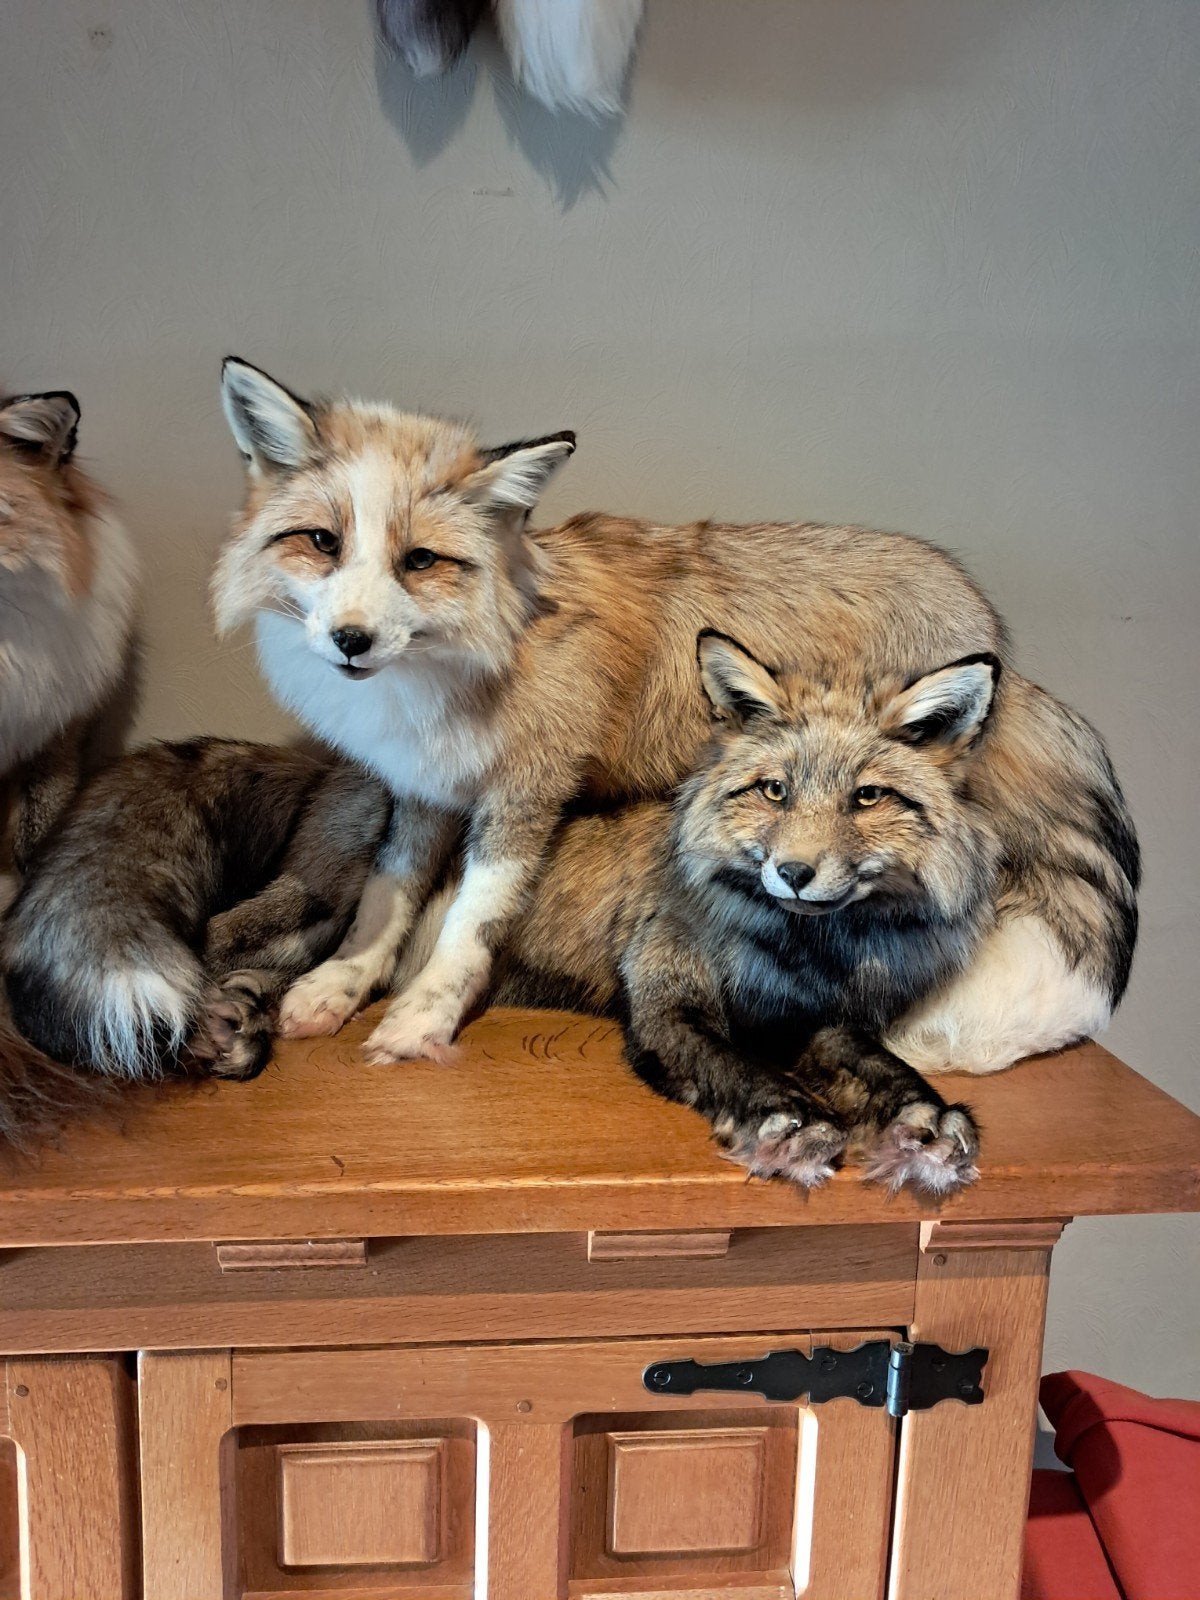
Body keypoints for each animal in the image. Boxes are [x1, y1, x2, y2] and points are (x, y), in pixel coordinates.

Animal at [212, 358, 1137, 1075]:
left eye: (420, 561)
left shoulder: (526, 795)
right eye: (322, 543)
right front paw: (339, 989)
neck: (464, 663)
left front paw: (424, 1019)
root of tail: (989, 622)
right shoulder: (426, 788)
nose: (351, 639)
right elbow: (384, 898)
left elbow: (471, 926)